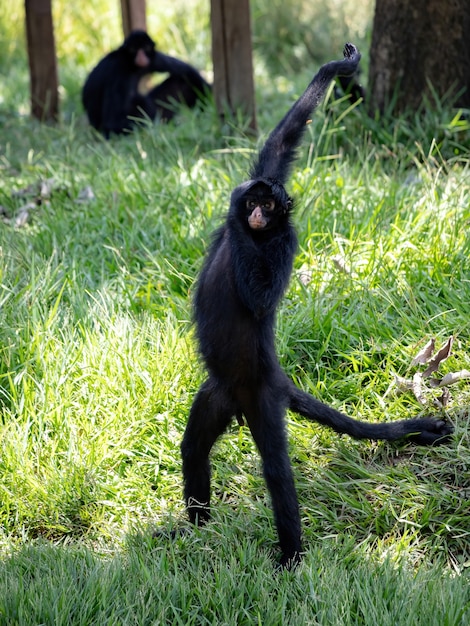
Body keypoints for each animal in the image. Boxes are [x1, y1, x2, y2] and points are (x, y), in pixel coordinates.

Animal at [82, 29, 211, 137]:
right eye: (134, 49)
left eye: (145, 48)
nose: (141, 56)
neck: (131, 66)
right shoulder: (117, 71)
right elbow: (112, 122)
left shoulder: (152, 59)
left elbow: (186, 70)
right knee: (140, 100)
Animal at [180, 44, 452, 568]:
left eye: (267, 209)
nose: (254, 212)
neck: (261, 233)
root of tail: (271, 378)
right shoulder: (265, 173)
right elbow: (281, 141)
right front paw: (336, 70)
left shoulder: (285, 241)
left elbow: (262, 298)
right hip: (218, 393)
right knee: (194, 449)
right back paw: (195, 530)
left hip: (261, 397)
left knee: (277, 472)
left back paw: (289, 558)